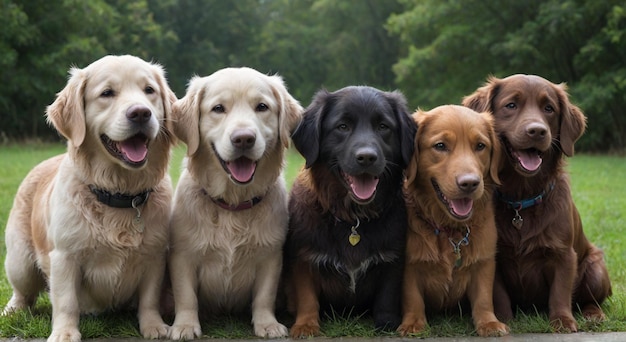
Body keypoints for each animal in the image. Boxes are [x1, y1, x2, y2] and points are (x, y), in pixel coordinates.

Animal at [3, 54, 177, 340]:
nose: (141, 113)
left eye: (149, 90)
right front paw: (64, 332)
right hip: (20, 261)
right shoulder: (64, 257)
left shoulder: (154, 255)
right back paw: (11, 310)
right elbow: (66, 301)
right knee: (22, 292)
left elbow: (149, 299)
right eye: (107, 93)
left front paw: (154, 326)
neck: (119, 194)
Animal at [167, 67, 302, 340]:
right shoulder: (183, 256)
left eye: (262, 107)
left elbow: (264, 295)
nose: (244, 139)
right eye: (218, 108)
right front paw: (185, 325)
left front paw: (267, 324)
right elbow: (186, 296)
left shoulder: (270, 256)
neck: (233, 203)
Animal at [282, 85, 414, 336]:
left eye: (383, 127)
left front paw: (386, 322)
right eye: (342, 126)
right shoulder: (303, 258)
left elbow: (387, 295)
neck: (353, 217)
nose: (367, 157)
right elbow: (307, 297)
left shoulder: (393, 260)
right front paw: (306, 325)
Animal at [398, 105, 510, 338]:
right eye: (440, 146)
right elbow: (412, 297)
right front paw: (414, 324)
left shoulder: (484, 262)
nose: (470, 183)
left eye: (480, 146)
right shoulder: (409, 265)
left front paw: (489, 323)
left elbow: (483, 298)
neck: (449, 229)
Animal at [460, 74, 612, 332]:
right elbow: (498, 294)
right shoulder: (496, 257)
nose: (537, 131)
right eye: (511, 105)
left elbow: (560, 292)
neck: (521, 199)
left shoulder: (563, 254)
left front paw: (562, 321)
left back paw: (593, 314)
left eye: (549, 109)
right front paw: (504, 318)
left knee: (591, 299)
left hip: (595, 268)